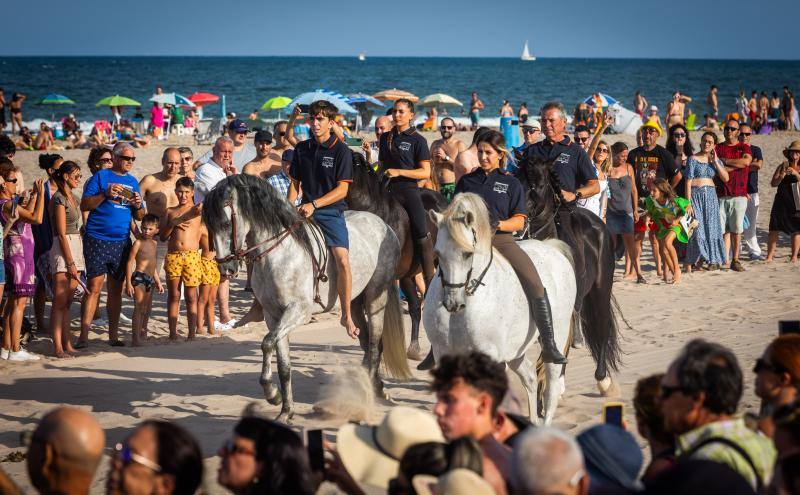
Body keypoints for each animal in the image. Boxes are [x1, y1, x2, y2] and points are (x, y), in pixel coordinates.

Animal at [203, 174, 410, 422]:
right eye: (208, 226)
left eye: (226, 224)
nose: (226, 270)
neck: (279, 253)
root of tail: (383, 225)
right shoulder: (274, 316)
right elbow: (283, 364)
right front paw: (285, 410)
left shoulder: (298, 312)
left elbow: (266, 343)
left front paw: (272, 394)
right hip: (355, 302)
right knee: (369, 342)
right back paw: (374, 387)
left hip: (375, 297)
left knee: (373, 344)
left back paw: (364, 397)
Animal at [424, 194, 576, 426]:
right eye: (438, 253)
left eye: (467, 254)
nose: (452, 303)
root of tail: (552, 249)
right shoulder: (443, 352)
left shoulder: (490, 357)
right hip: (516, 350)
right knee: (530, 377)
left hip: (557, 335)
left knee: (551, 388)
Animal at [520, 156, 624, 396]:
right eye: (518, 179)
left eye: (540, 185)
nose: (521, 214)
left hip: (600, 290)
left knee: (602, 327)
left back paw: (603, 380)